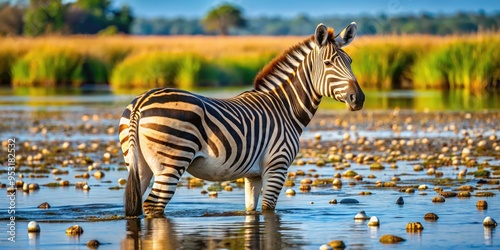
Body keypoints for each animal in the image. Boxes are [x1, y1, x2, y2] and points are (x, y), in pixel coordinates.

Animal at [119, 22, 366, 217]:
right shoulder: (277, 166)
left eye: (351, 61)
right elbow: (268, 210)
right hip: (172, 161)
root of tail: (141, 102)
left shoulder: (253, 175)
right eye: (328, 64)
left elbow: (251, 209)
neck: (285, 108)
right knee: (153, 207)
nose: (359, 98)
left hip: (139, 165)